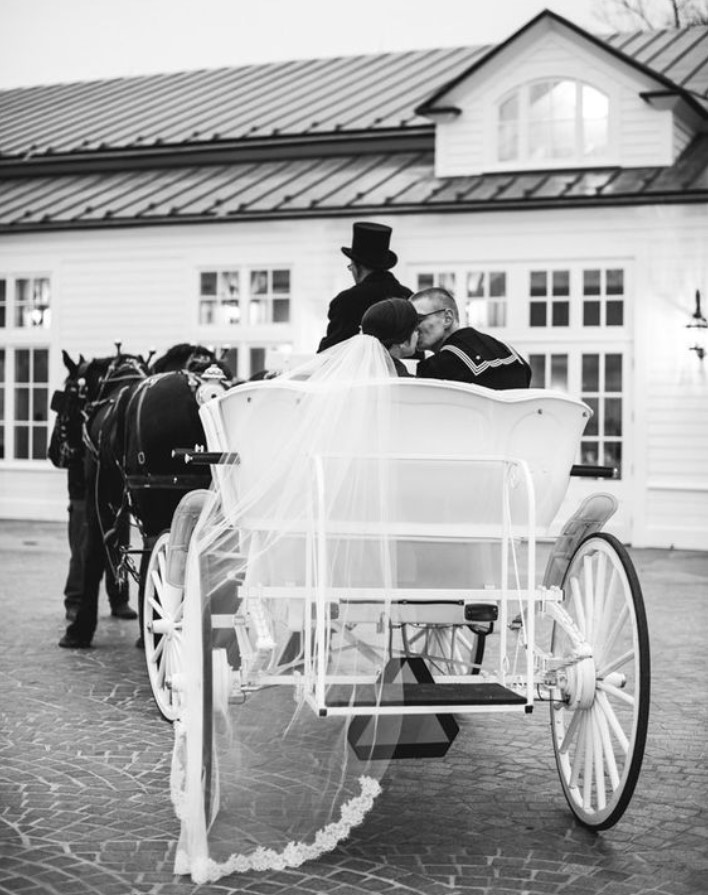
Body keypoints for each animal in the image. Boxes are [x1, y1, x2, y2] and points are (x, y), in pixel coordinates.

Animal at [58, 344, 235, 652]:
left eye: (67, 393)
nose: (58, 452)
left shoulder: (99, 495)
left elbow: (93, 551)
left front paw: (79, 629)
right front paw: (145, 631)